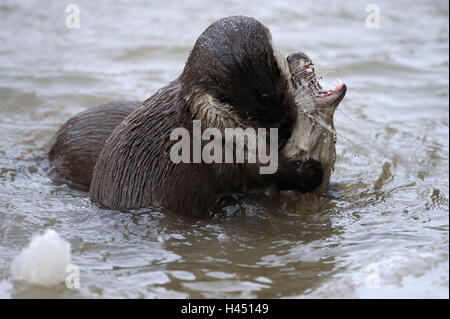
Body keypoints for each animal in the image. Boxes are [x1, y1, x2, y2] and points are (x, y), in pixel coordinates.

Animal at [47, 16, 346, 218]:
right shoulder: (226, 151)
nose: (283, 128)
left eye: (282, 80)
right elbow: (267, 169)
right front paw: (309, 173)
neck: (212, 123)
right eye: (250, 114)